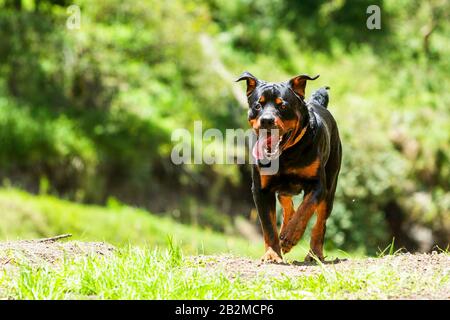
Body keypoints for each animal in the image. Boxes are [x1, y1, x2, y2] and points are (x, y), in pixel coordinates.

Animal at [236, 72, 342, 262]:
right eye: (257, 105)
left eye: (283, 106)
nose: (267, 120)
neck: (285, 155)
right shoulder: (261, 189)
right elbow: (268, 225)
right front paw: (272, 253)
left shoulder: (318, 185)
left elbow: (305, 209)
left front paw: (291, 236)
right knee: (286, 202)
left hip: (331, 184)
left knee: (320, 222)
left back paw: (314, 253)